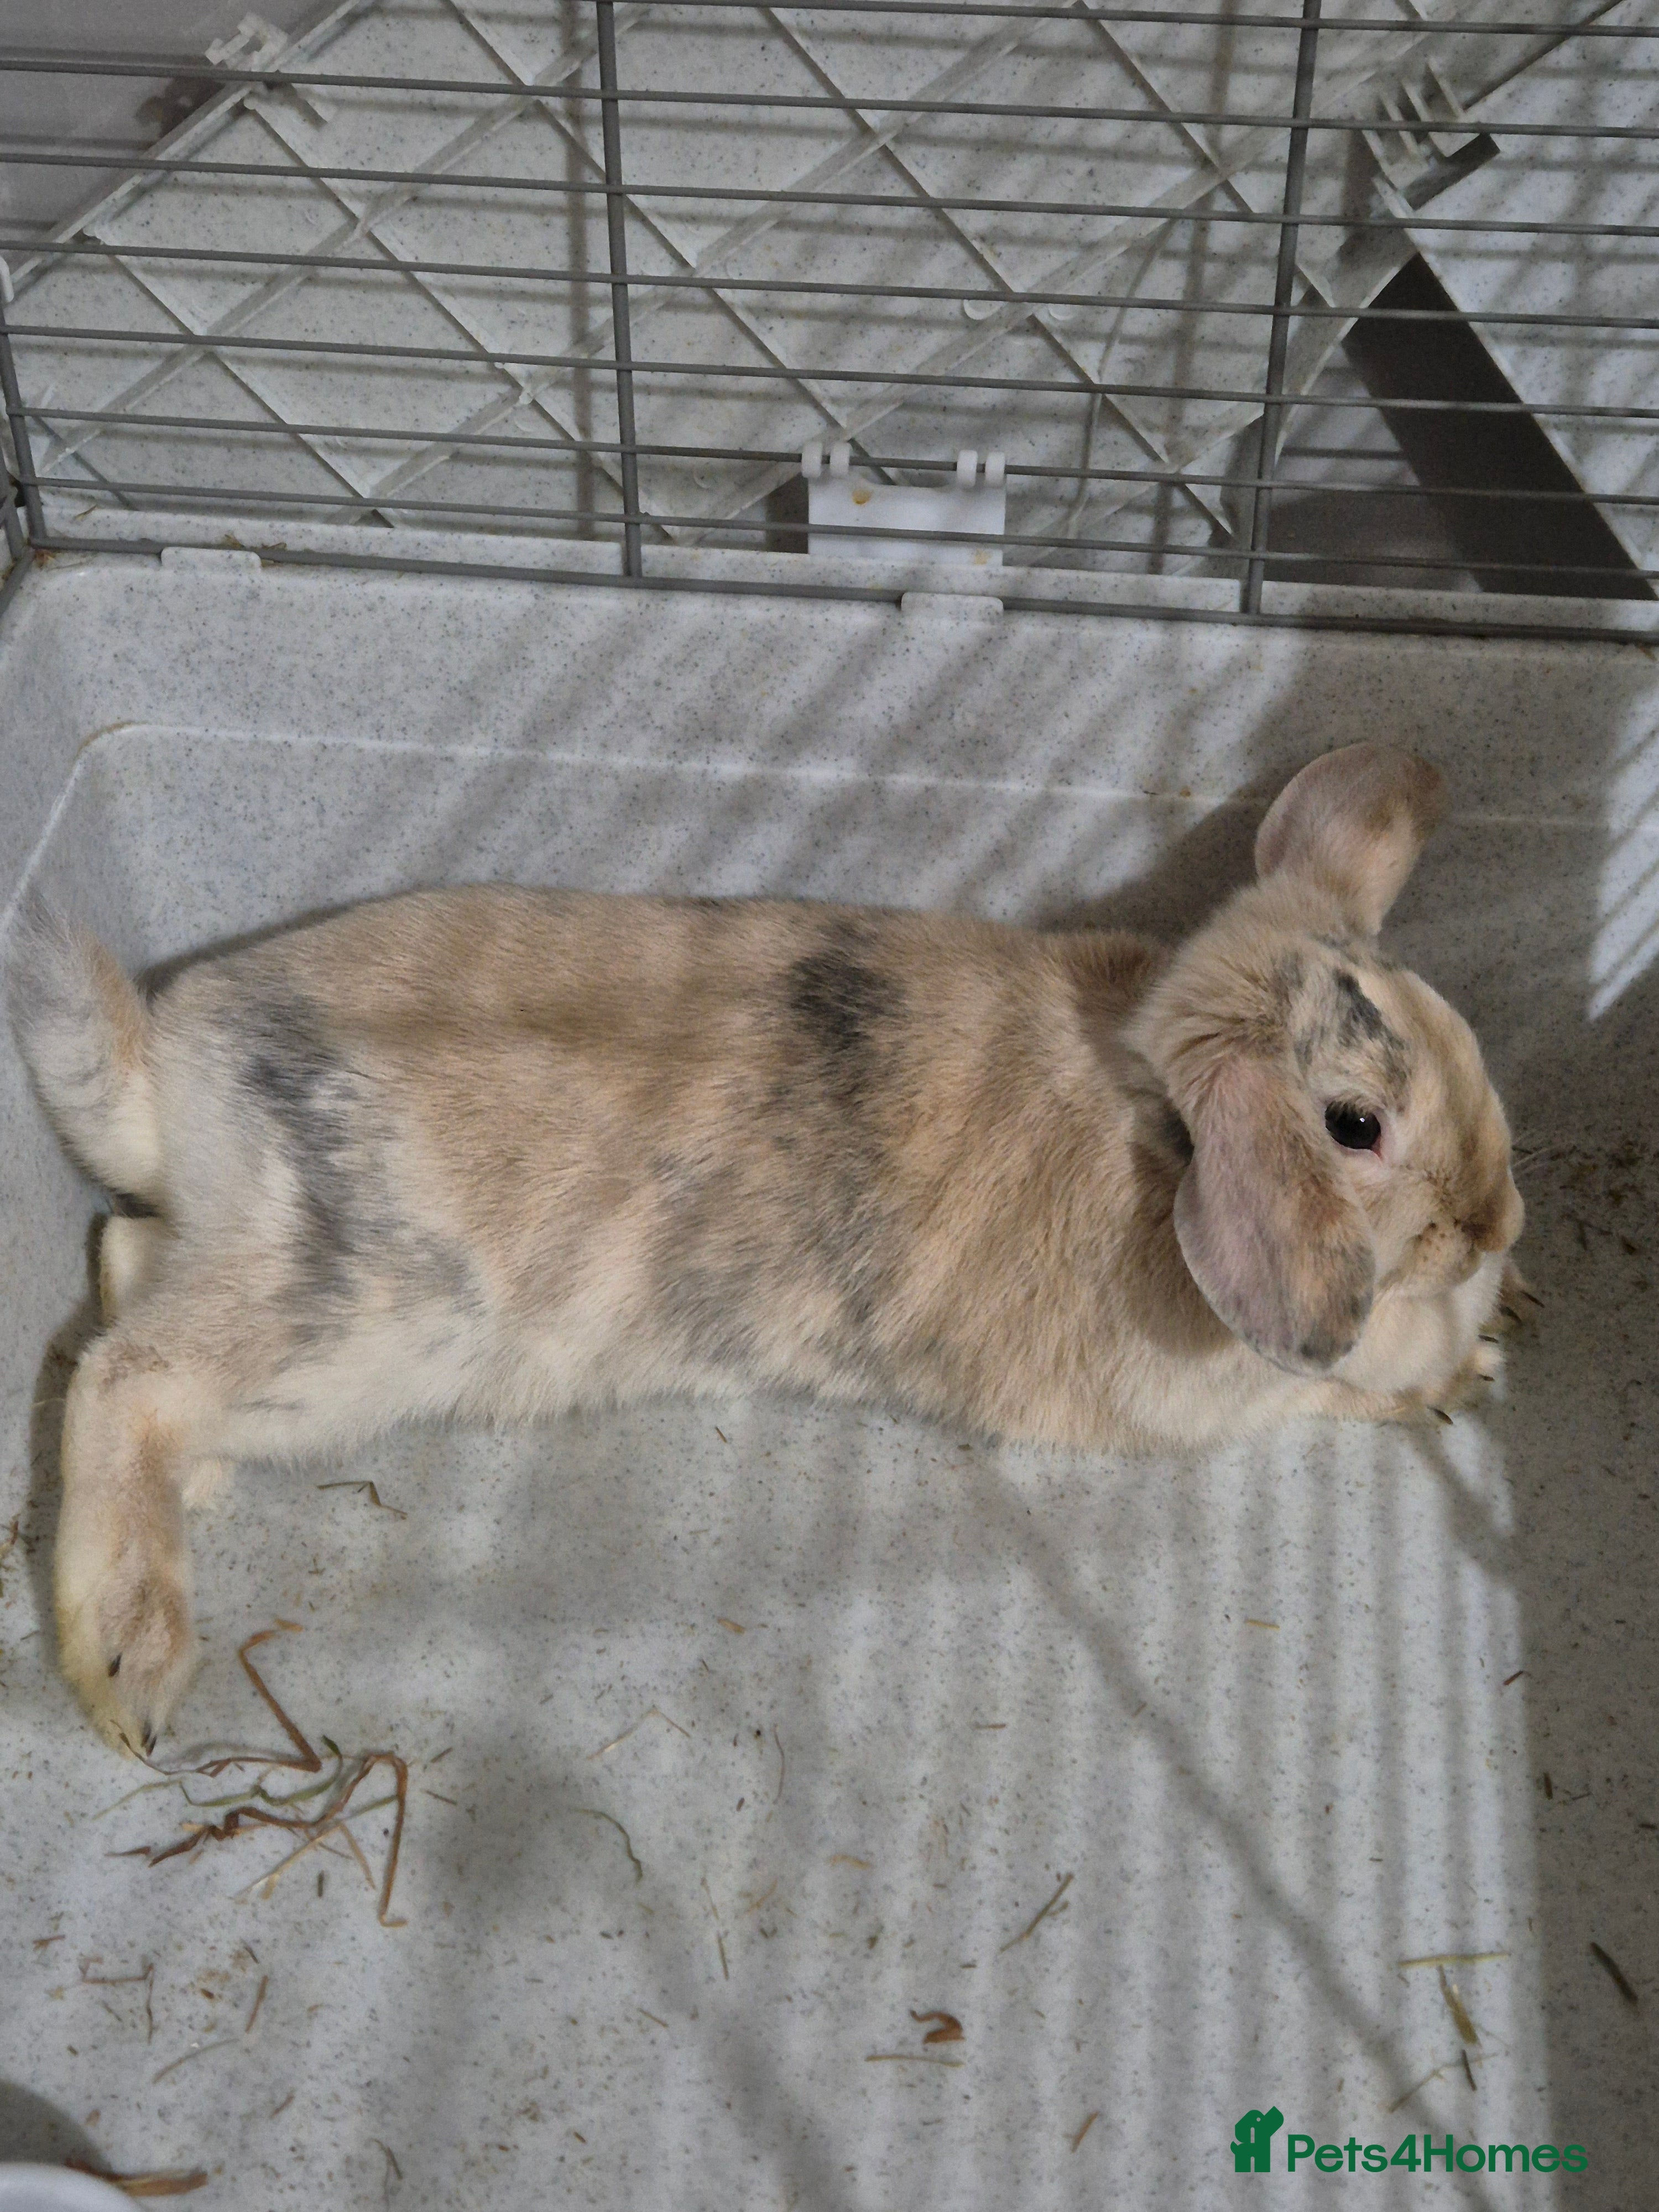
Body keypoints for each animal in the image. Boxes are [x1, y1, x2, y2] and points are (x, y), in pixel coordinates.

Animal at [7, 742, 1525, 1756]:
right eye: (1355, 1124)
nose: (1495, 1222)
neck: (1154, 1121)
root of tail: (168, 1079)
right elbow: (1345, 1372)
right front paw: (1463, 1361)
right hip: (358, 1321)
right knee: (124, 1374)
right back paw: (133, 1663)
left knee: (122, 1270)